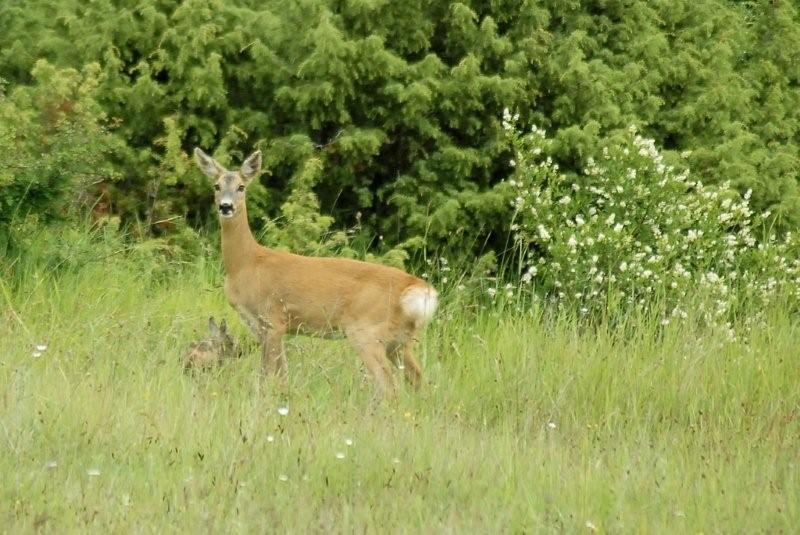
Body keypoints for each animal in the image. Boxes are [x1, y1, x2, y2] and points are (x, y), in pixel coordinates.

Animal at [193, 148, 438, 398]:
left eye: (241, 187)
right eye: (216, 186)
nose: (226, 206)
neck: (246, 264)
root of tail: (415, 288)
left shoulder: (274, 318)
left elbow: (268, 376)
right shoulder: (260, 325)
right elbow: (281, 375)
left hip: (367, 331)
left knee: (389, 387)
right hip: (399, 341)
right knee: (419, 380)